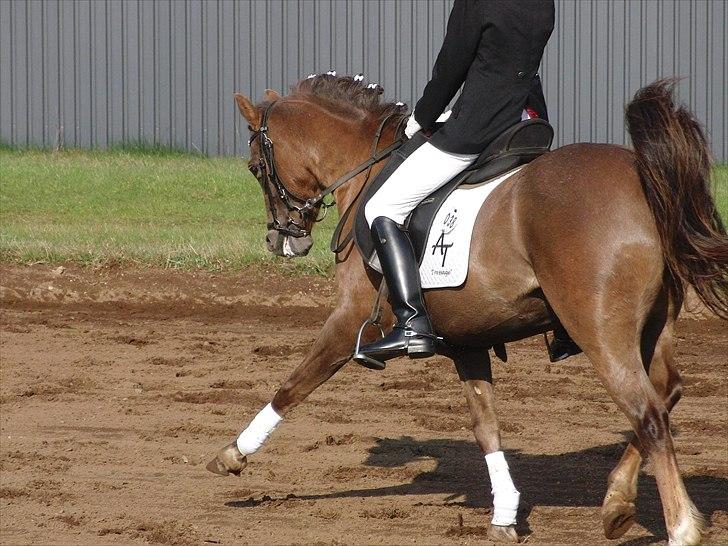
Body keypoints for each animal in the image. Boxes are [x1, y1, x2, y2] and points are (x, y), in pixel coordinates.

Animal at [208, 75, 728, 545]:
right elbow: (486, 425)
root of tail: (639, 175)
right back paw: (616, 504)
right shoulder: (468, 338)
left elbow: (294, 384)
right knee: (666, 392)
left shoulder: (352, 317)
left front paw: (234, 453)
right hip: (654, 325)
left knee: (649, 413)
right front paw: (504, 513)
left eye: (255, 167)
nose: (280, 240)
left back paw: (680, 528)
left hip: (600, 331)